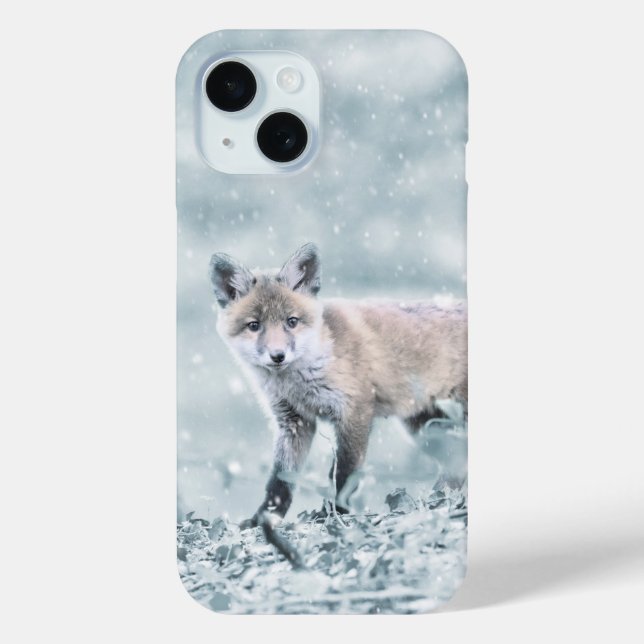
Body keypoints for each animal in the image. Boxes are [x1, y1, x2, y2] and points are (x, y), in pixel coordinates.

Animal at [209, 242, 467, 527]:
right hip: (426, 429)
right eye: (254, 325)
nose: (278, 356)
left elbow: (344, 474)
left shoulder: (354, 411)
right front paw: (263, 519)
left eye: (292, 321)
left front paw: (335, 514)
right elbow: (281, 480)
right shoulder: (293, 422)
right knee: (457, 467)